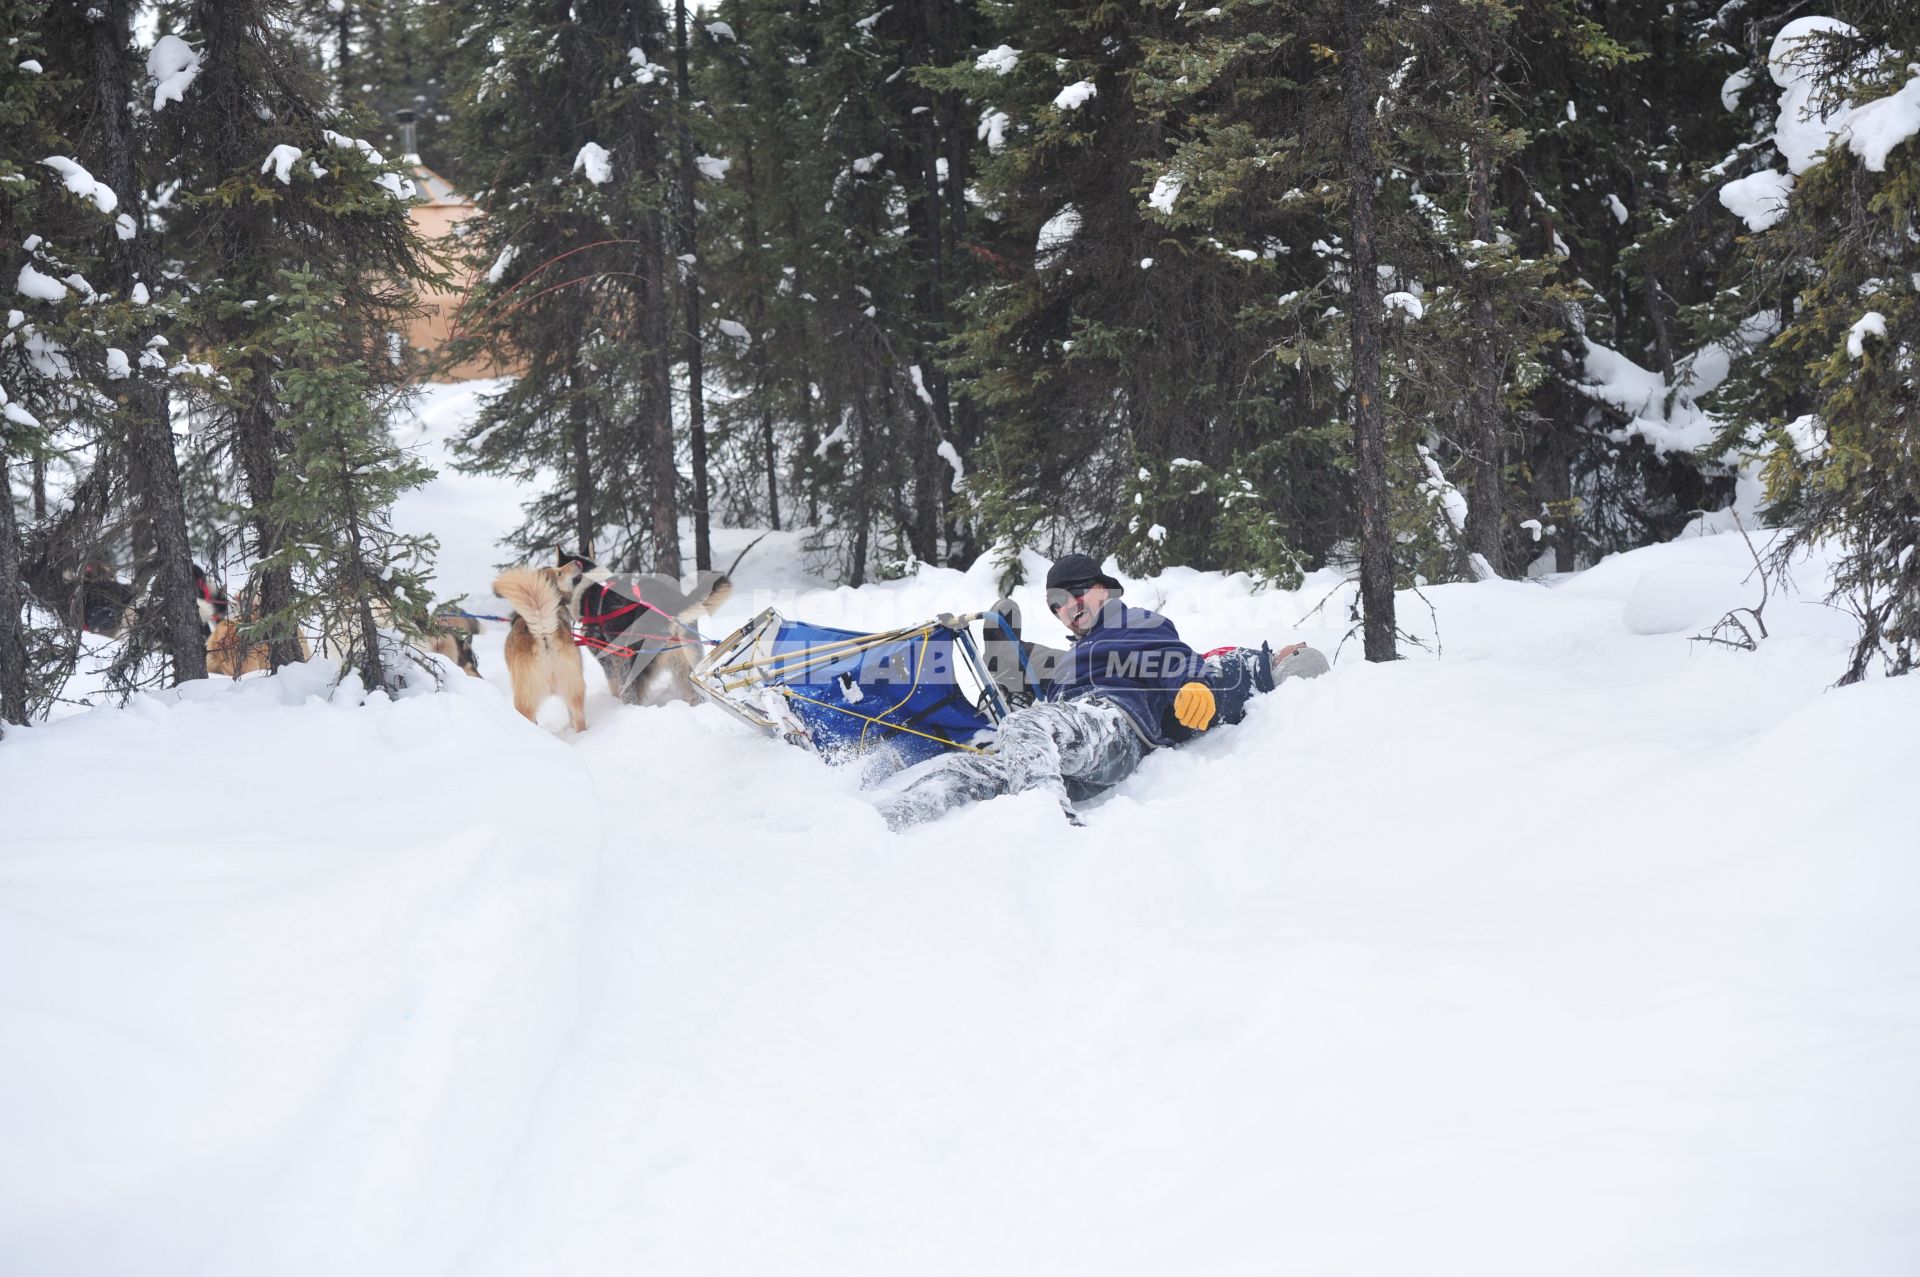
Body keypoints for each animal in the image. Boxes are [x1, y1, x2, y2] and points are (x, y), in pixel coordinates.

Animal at [495, 564, 583, 733]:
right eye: (559, 572)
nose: (577, 562)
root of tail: (543, 633)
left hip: (524, 700)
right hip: (573, 689)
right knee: (578, 718)